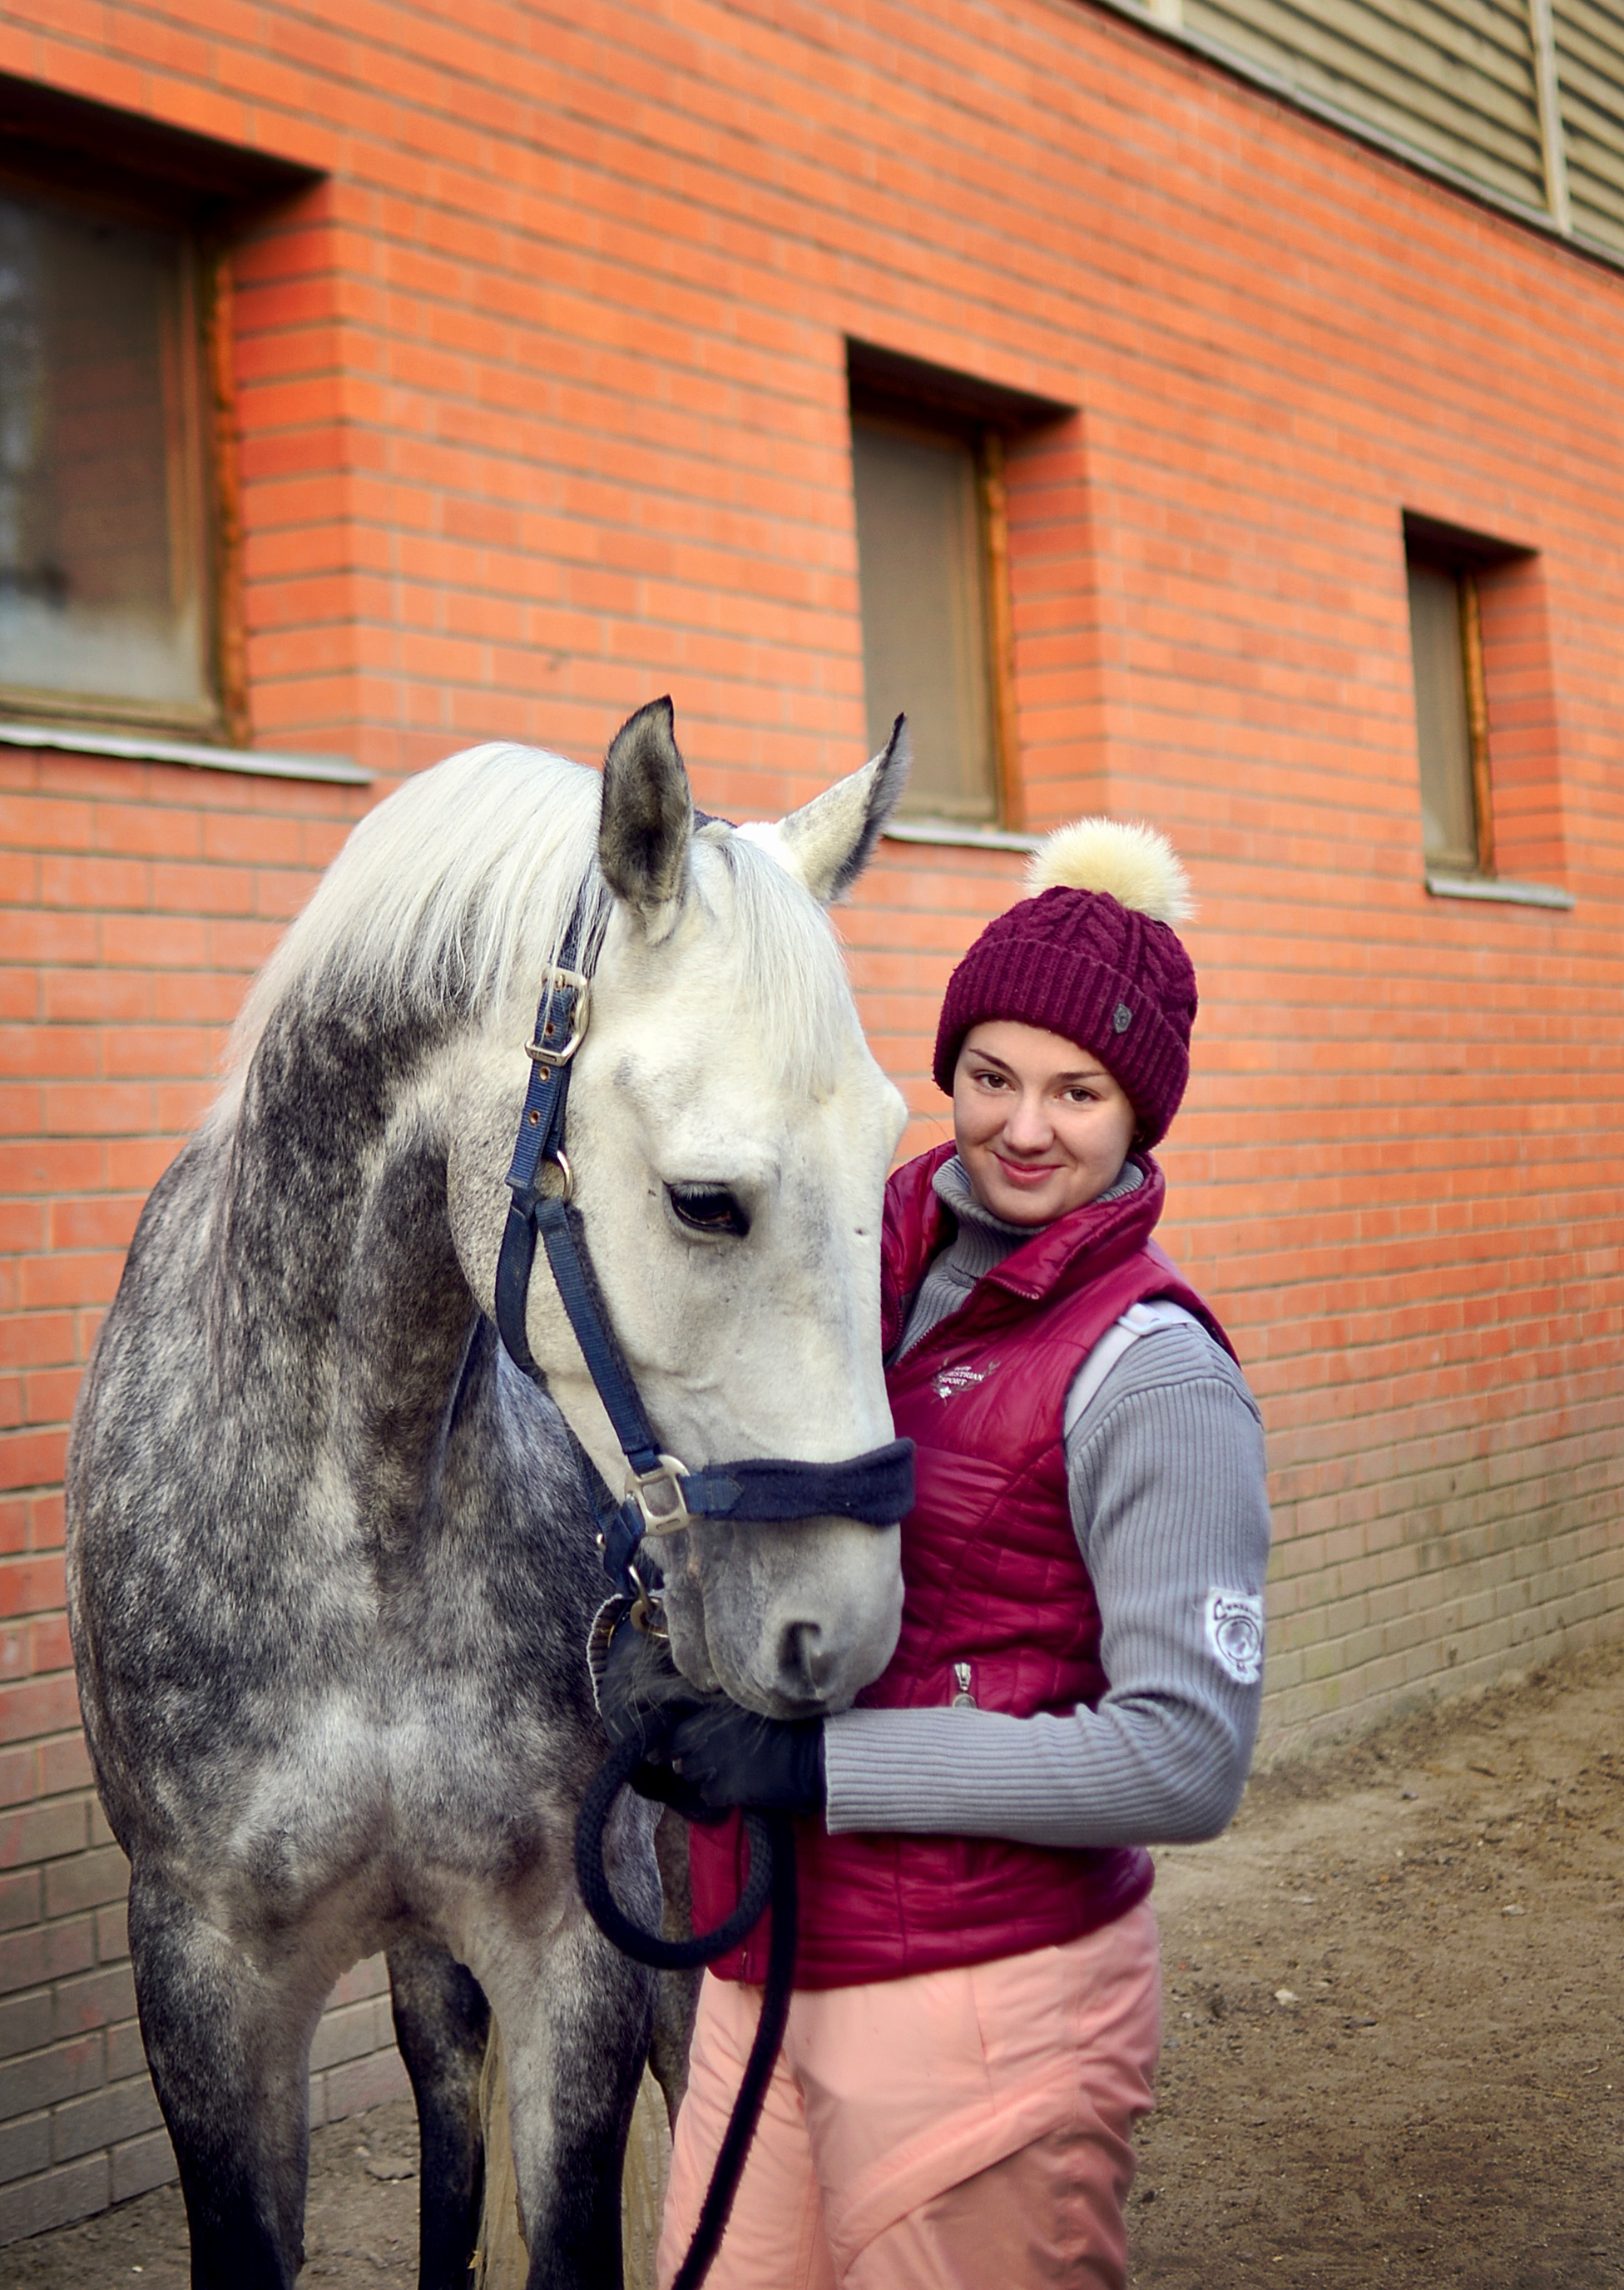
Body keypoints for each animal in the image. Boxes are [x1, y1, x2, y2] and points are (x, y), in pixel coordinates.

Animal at [69, 701, 907, 2290]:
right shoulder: (203, 1981)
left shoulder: (573, 1950)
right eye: (703, 1201)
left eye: (891, 1162)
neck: (360, 1524)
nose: (844, 1625)